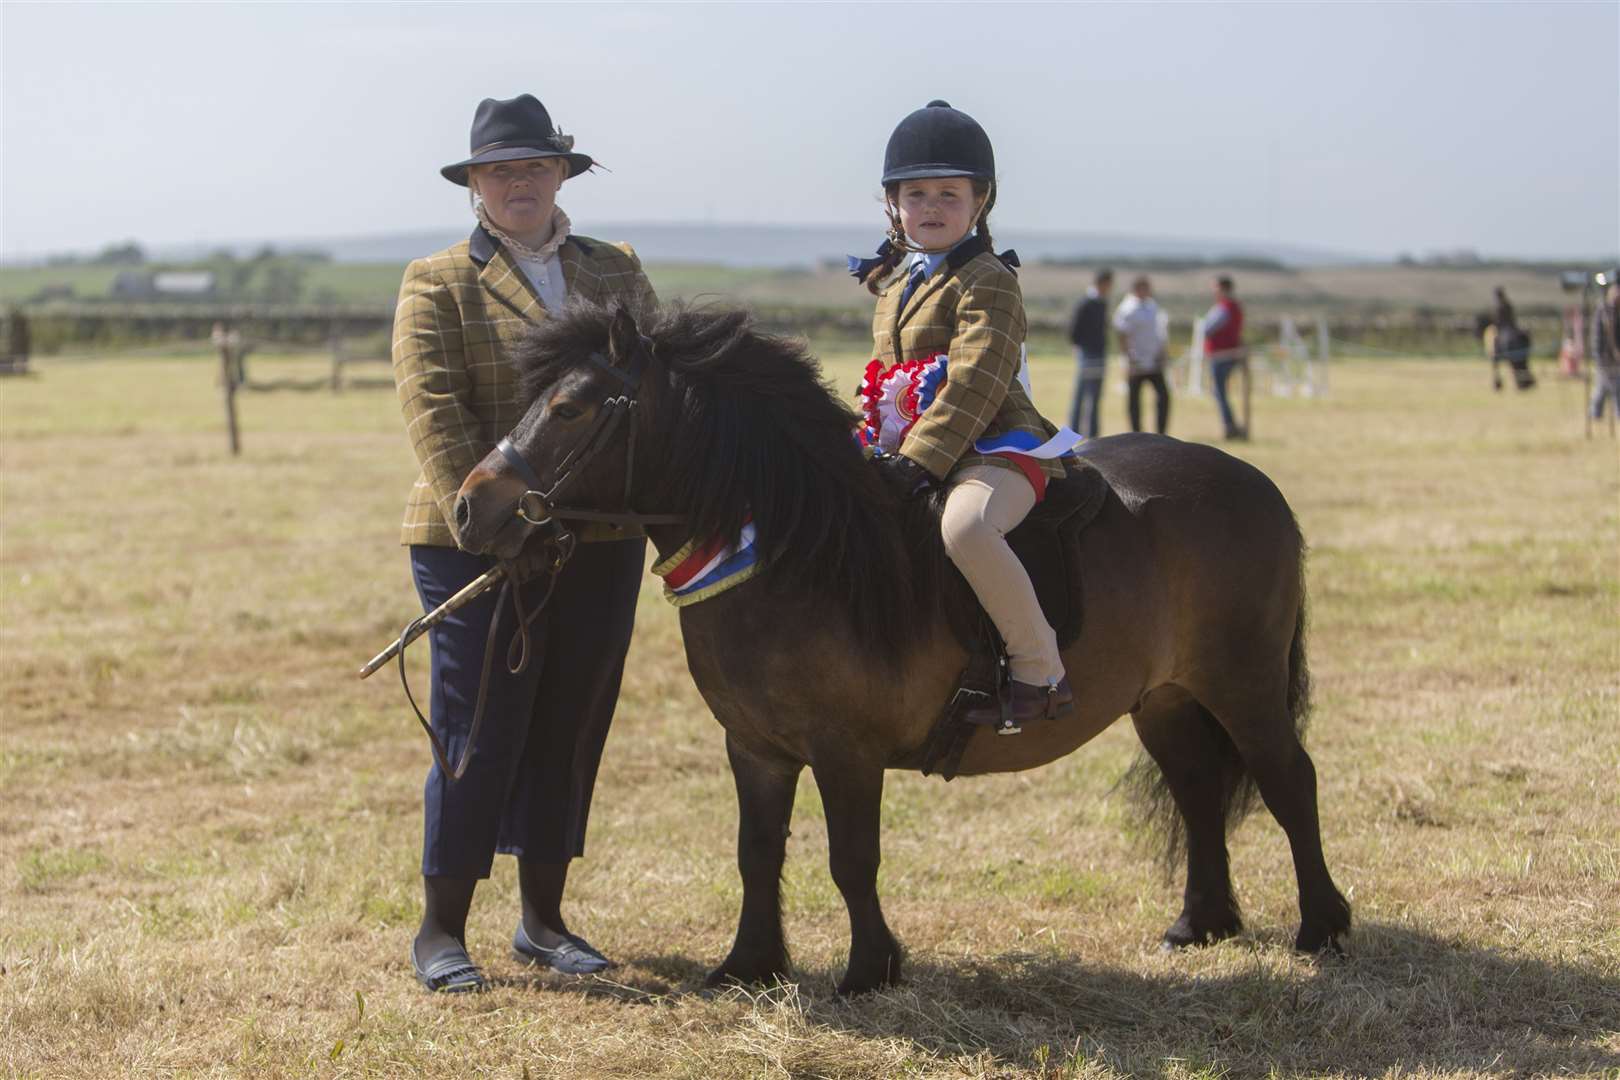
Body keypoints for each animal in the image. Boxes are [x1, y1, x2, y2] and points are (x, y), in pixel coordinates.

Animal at [450, 299, 1347, 990]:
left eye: (568, 410)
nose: (468, 508)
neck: (794, 551)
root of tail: (1252, 483)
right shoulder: (756, 747)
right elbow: (755, 852)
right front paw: (749, 966)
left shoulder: (847, 751)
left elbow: (852, 858)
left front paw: (869, 971)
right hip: (1164, 697)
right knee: (1198, 788)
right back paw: (1201, 924)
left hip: (1242, 683)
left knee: (1288, 780)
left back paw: (1323, 928)